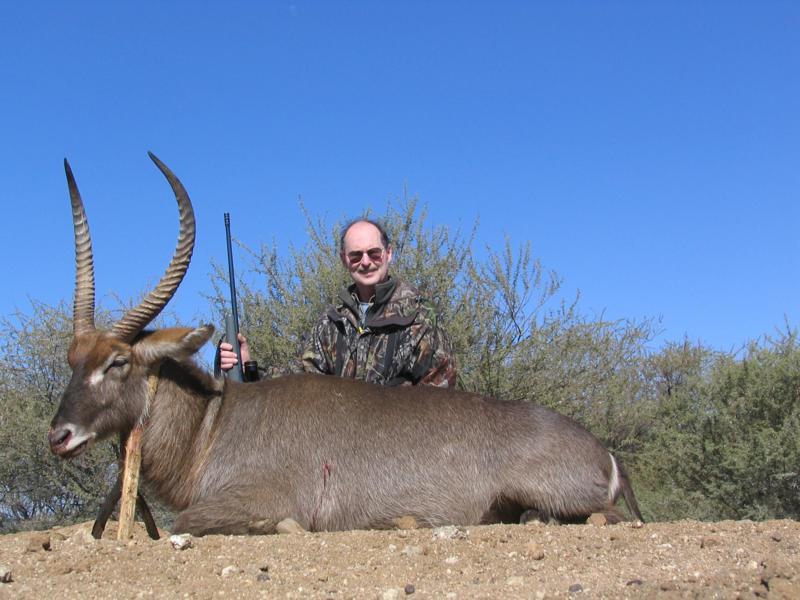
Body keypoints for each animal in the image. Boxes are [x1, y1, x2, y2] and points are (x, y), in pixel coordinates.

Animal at [48, 154, 644, 536]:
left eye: (118, 362)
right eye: (73, 361)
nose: (59, 435)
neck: (211, 425)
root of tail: (604, 450)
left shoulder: (261, 496)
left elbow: (191, 521)